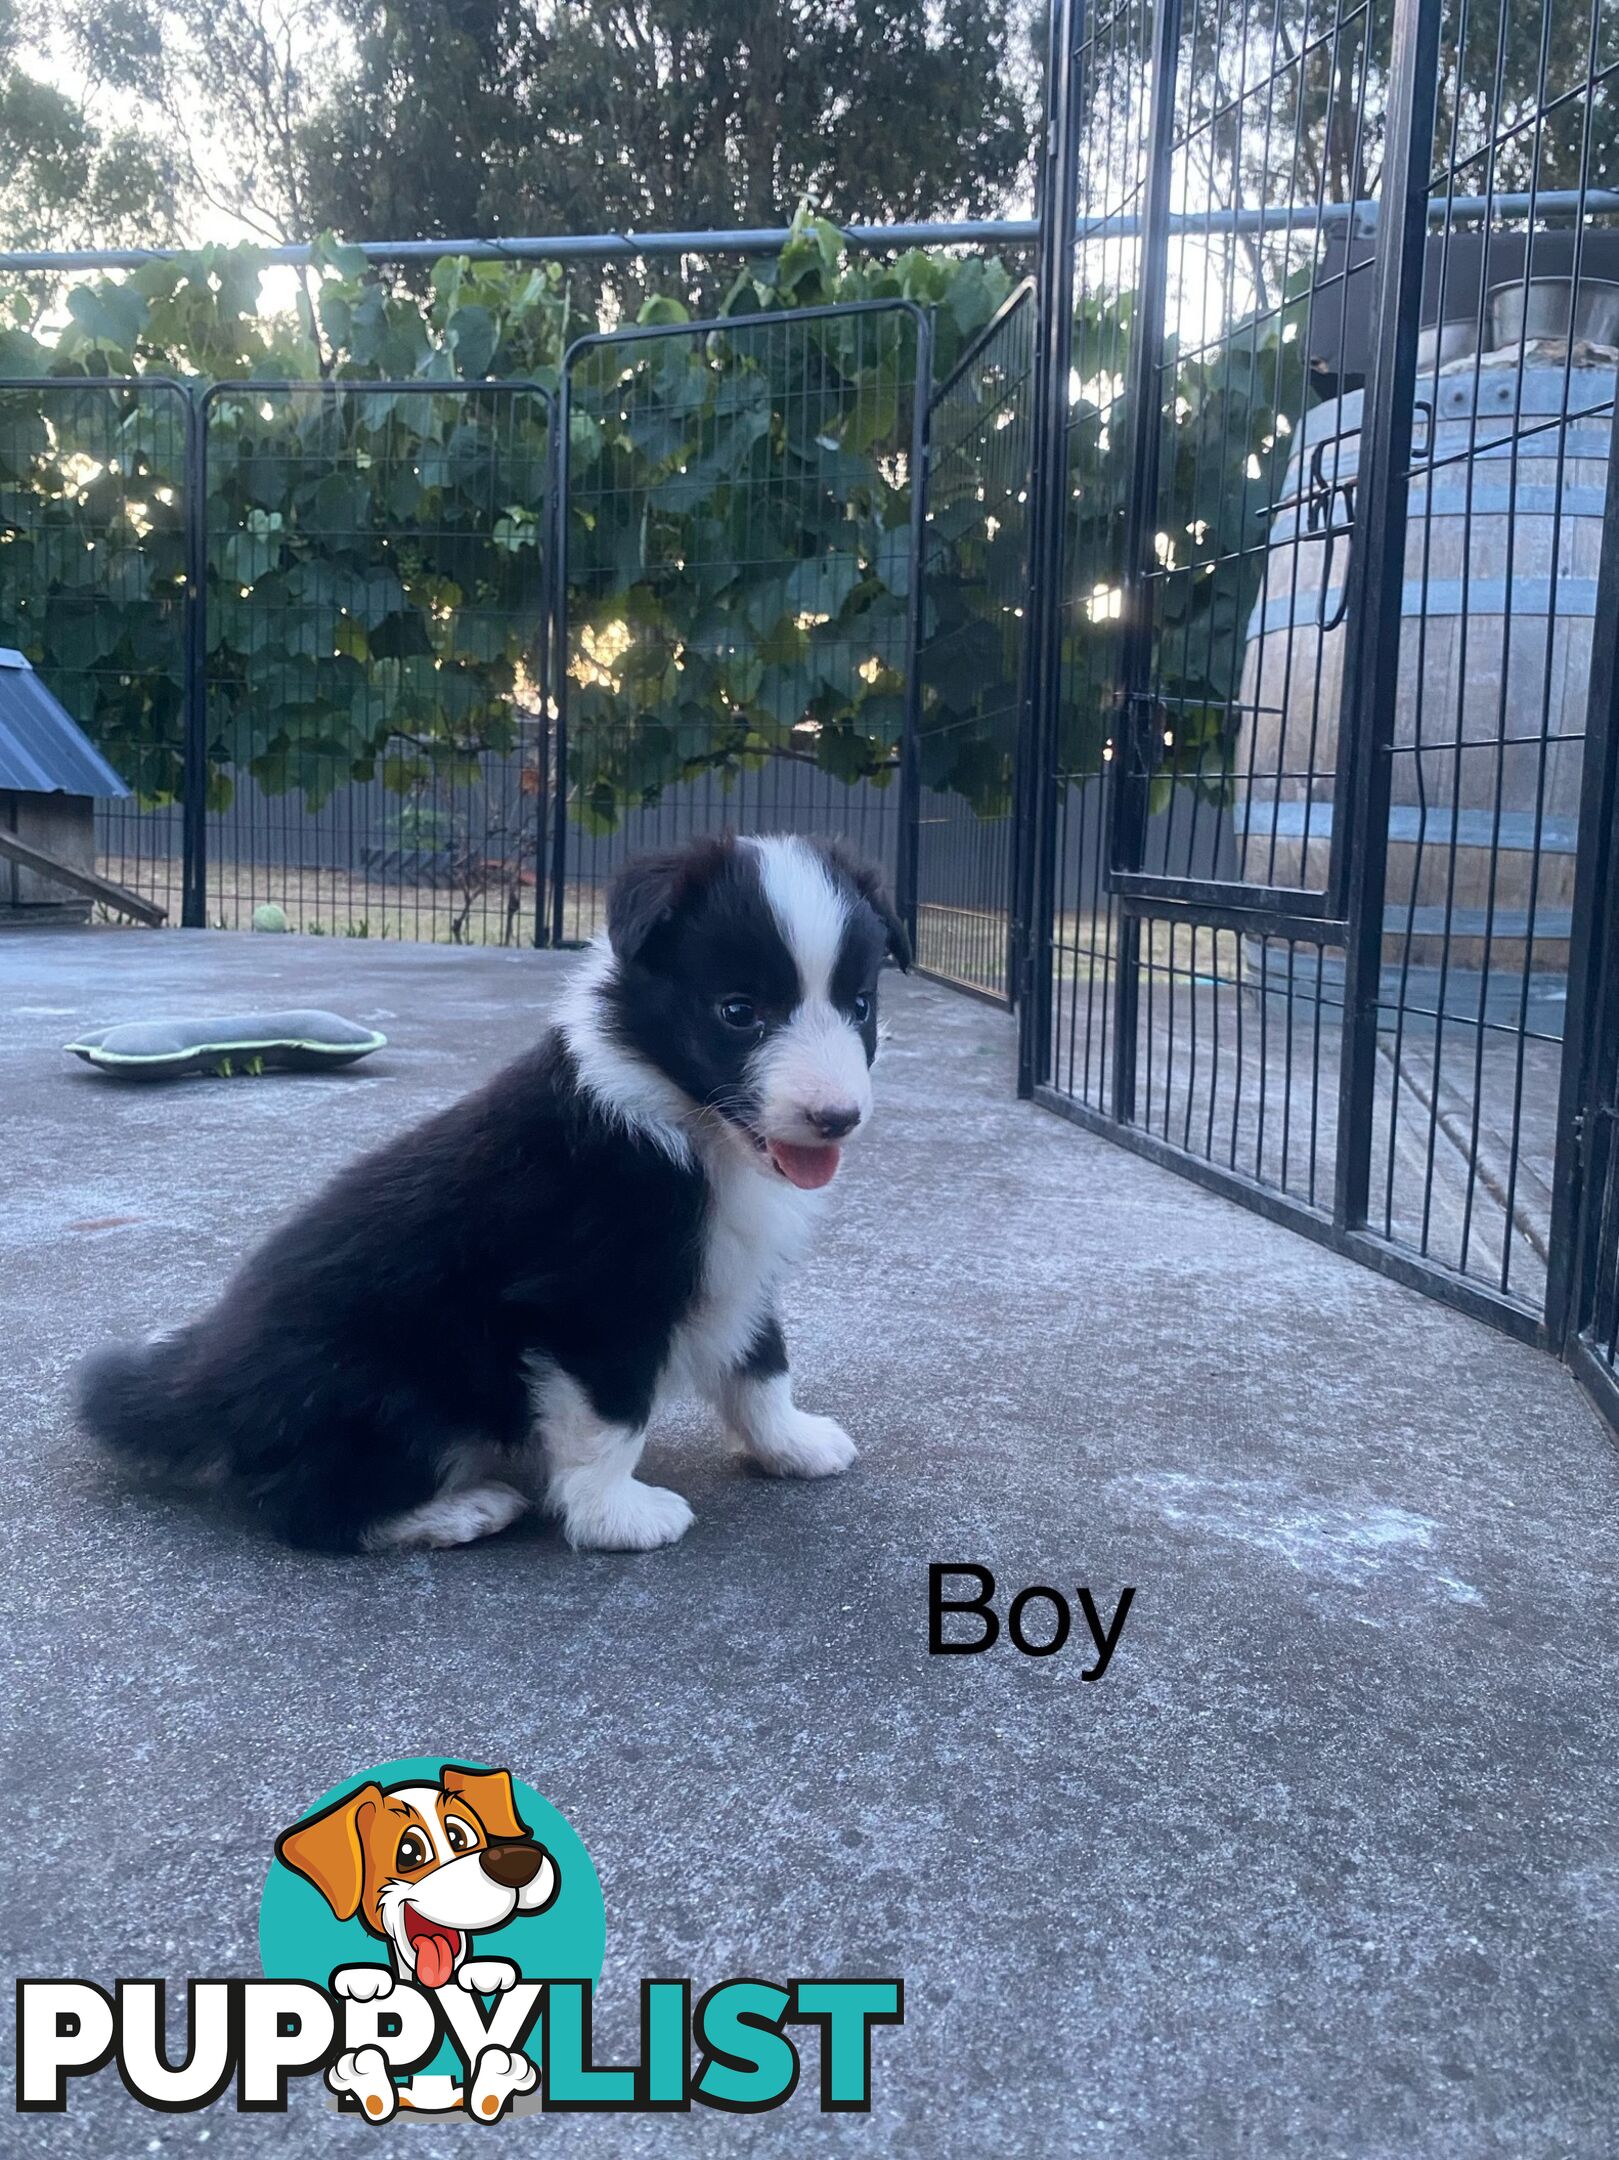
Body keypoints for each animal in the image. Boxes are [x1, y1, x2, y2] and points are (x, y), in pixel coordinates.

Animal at [79, 825, 915, 1555]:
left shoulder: (736, 1268)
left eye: (859, 1006)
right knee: (304, 1507)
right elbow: (611, 1417)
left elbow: (762, 1365)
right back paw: (459, 1512)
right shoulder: (590, 1296)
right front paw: (615, 1517)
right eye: (738, 1011)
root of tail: (204, 1378)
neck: (691, 1127)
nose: (836, 1118)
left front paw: (792, 1444)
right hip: (397, 1388)